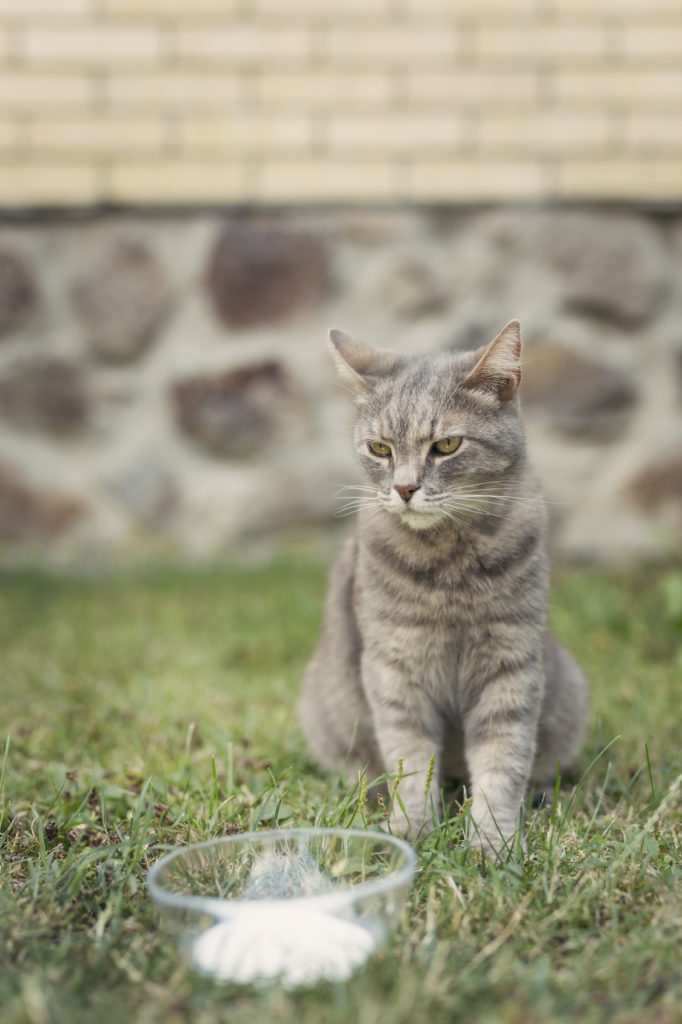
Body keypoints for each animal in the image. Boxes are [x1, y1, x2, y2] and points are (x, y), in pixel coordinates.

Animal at [301, 321, 585, 856]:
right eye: (380, 450)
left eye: (447, 445)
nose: (404, 488)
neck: (449, 565)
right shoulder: (394, 667)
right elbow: (410, 761)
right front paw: (412, 830)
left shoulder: (510, 662)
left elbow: (502, 758)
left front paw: (493, 841)